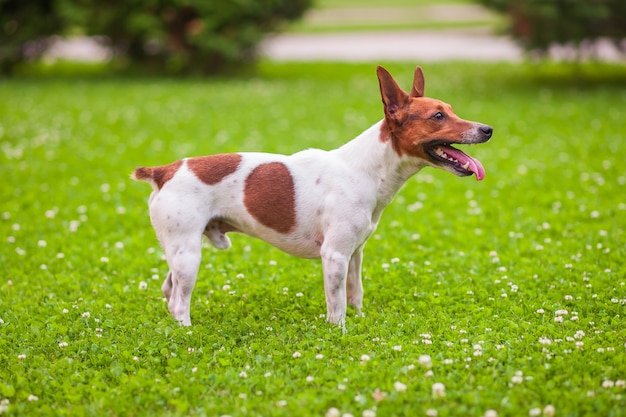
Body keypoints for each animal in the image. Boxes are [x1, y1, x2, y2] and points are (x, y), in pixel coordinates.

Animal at [133, 66, 492, 328]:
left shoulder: (354, 254)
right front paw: (339, 332)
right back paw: (186, 333)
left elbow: (355, 294)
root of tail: (164, 171)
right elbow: (337, 304)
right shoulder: (334, 256)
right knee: (179, 301)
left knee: (168, 289)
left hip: (179, 252)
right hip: (189, 254)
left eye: (451, 111)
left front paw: (360, 323)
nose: (488, 129)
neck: (365, 168)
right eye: (438, 117)